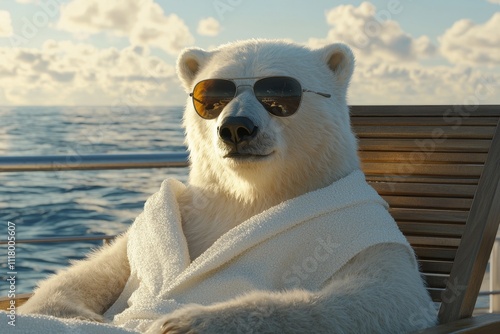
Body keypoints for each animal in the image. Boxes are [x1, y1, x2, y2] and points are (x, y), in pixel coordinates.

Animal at [18, 39, 434, 332]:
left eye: (278, 94)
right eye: (212, 97)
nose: (236, 127)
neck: (250, 196)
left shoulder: (356, 228)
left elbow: (386, 294)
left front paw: (186, 322)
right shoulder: (181, 218)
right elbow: (96, 271)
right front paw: (74, 312)